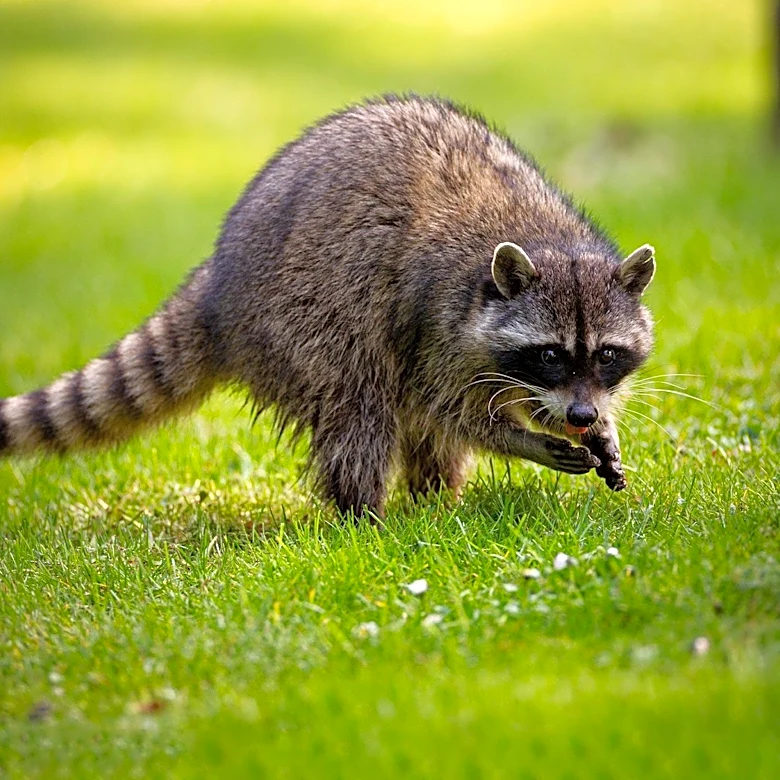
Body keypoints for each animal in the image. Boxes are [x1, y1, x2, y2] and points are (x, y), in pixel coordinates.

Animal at [0, 95, 655, 518]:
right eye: (549, 354)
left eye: (605, 354)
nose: (582, 416)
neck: (545, 238)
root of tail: (217, 282)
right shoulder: (438, 319)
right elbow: (445, 406)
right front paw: (521, 439)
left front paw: (598, 427)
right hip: (302, 315)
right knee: (360, 401)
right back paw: (363, 516)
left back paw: (435, 500)